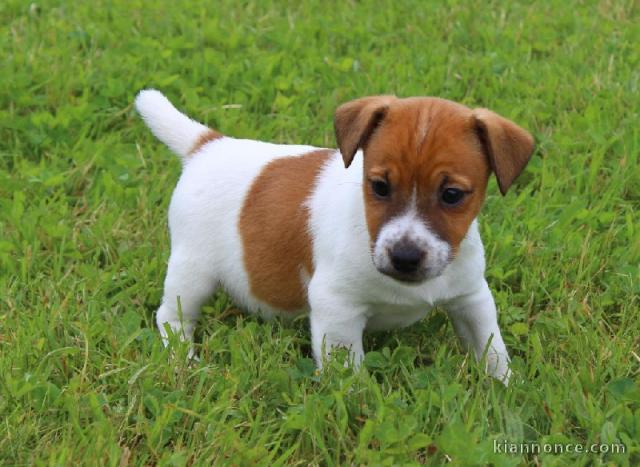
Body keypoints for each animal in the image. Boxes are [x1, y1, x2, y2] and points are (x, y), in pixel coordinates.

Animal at [135, 90, 536, 384]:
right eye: (379, 186)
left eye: (452, 195)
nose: (405, 257)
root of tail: (208, 145)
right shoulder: (337, 307)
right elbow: (347, 369)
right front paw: (357, 402)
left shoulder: (471, 298)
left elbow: (491, 347)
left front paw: (506, 386)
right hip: (193, 270)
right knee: (172, 316)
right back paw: (183, 359)